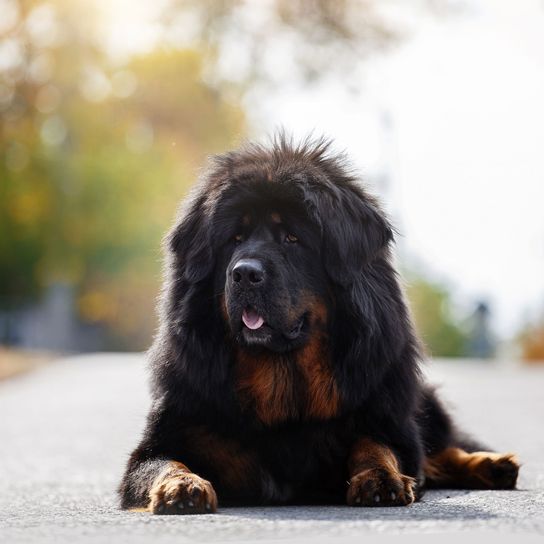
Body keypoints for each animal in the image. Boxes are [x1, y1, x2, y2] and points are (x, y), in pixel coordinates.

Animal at [118, 136, 520, 516]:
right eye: (235, 239)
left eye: (292, 238)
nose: (244, 273)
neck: (282, 380)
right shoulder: (166, 437)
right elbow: (165, 462)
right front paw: (182, 487)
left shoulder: (388, 421)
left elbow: (377, 445)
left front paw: (380, 478)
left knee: (441, 448)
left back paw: (493, 465)